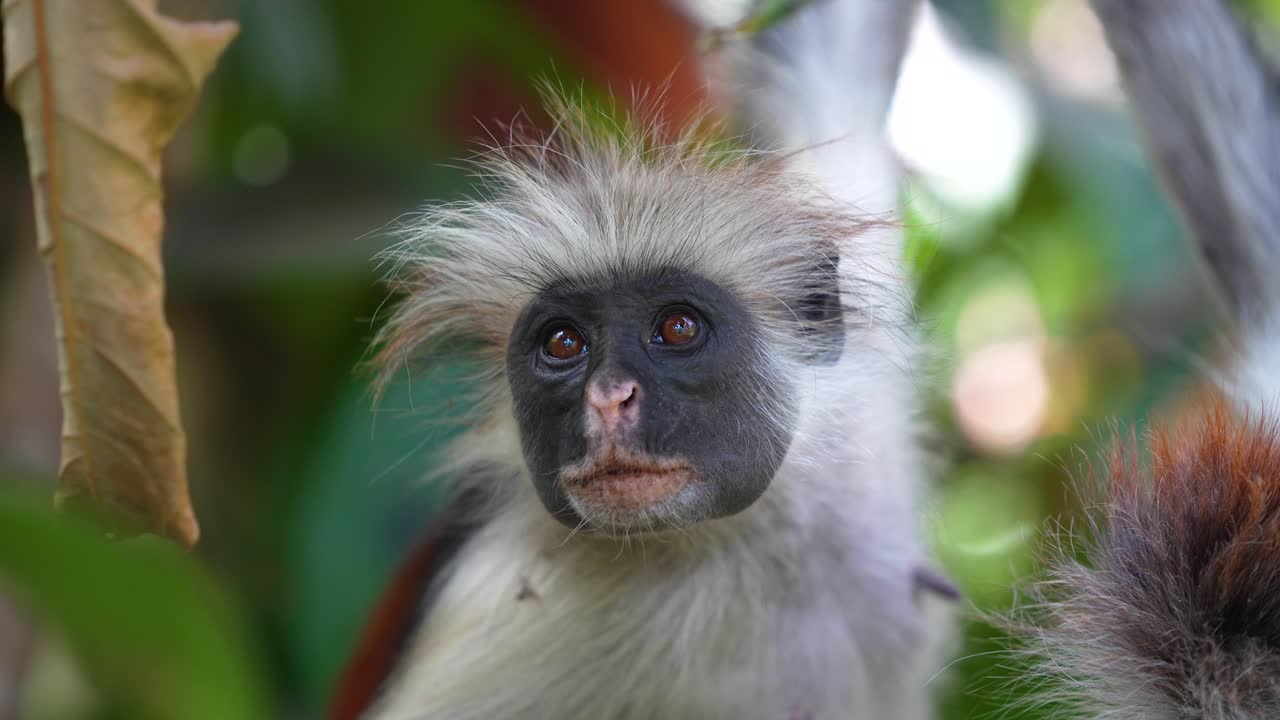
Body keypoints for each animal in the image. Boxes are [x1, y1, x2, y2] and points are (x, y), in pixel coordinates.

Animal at [328, 1, 957, 719]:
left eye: (678, 328)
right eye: (563, 344)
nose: (608, 397)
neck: (760, 540)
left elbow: (838, 41)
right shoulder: (516, 610)